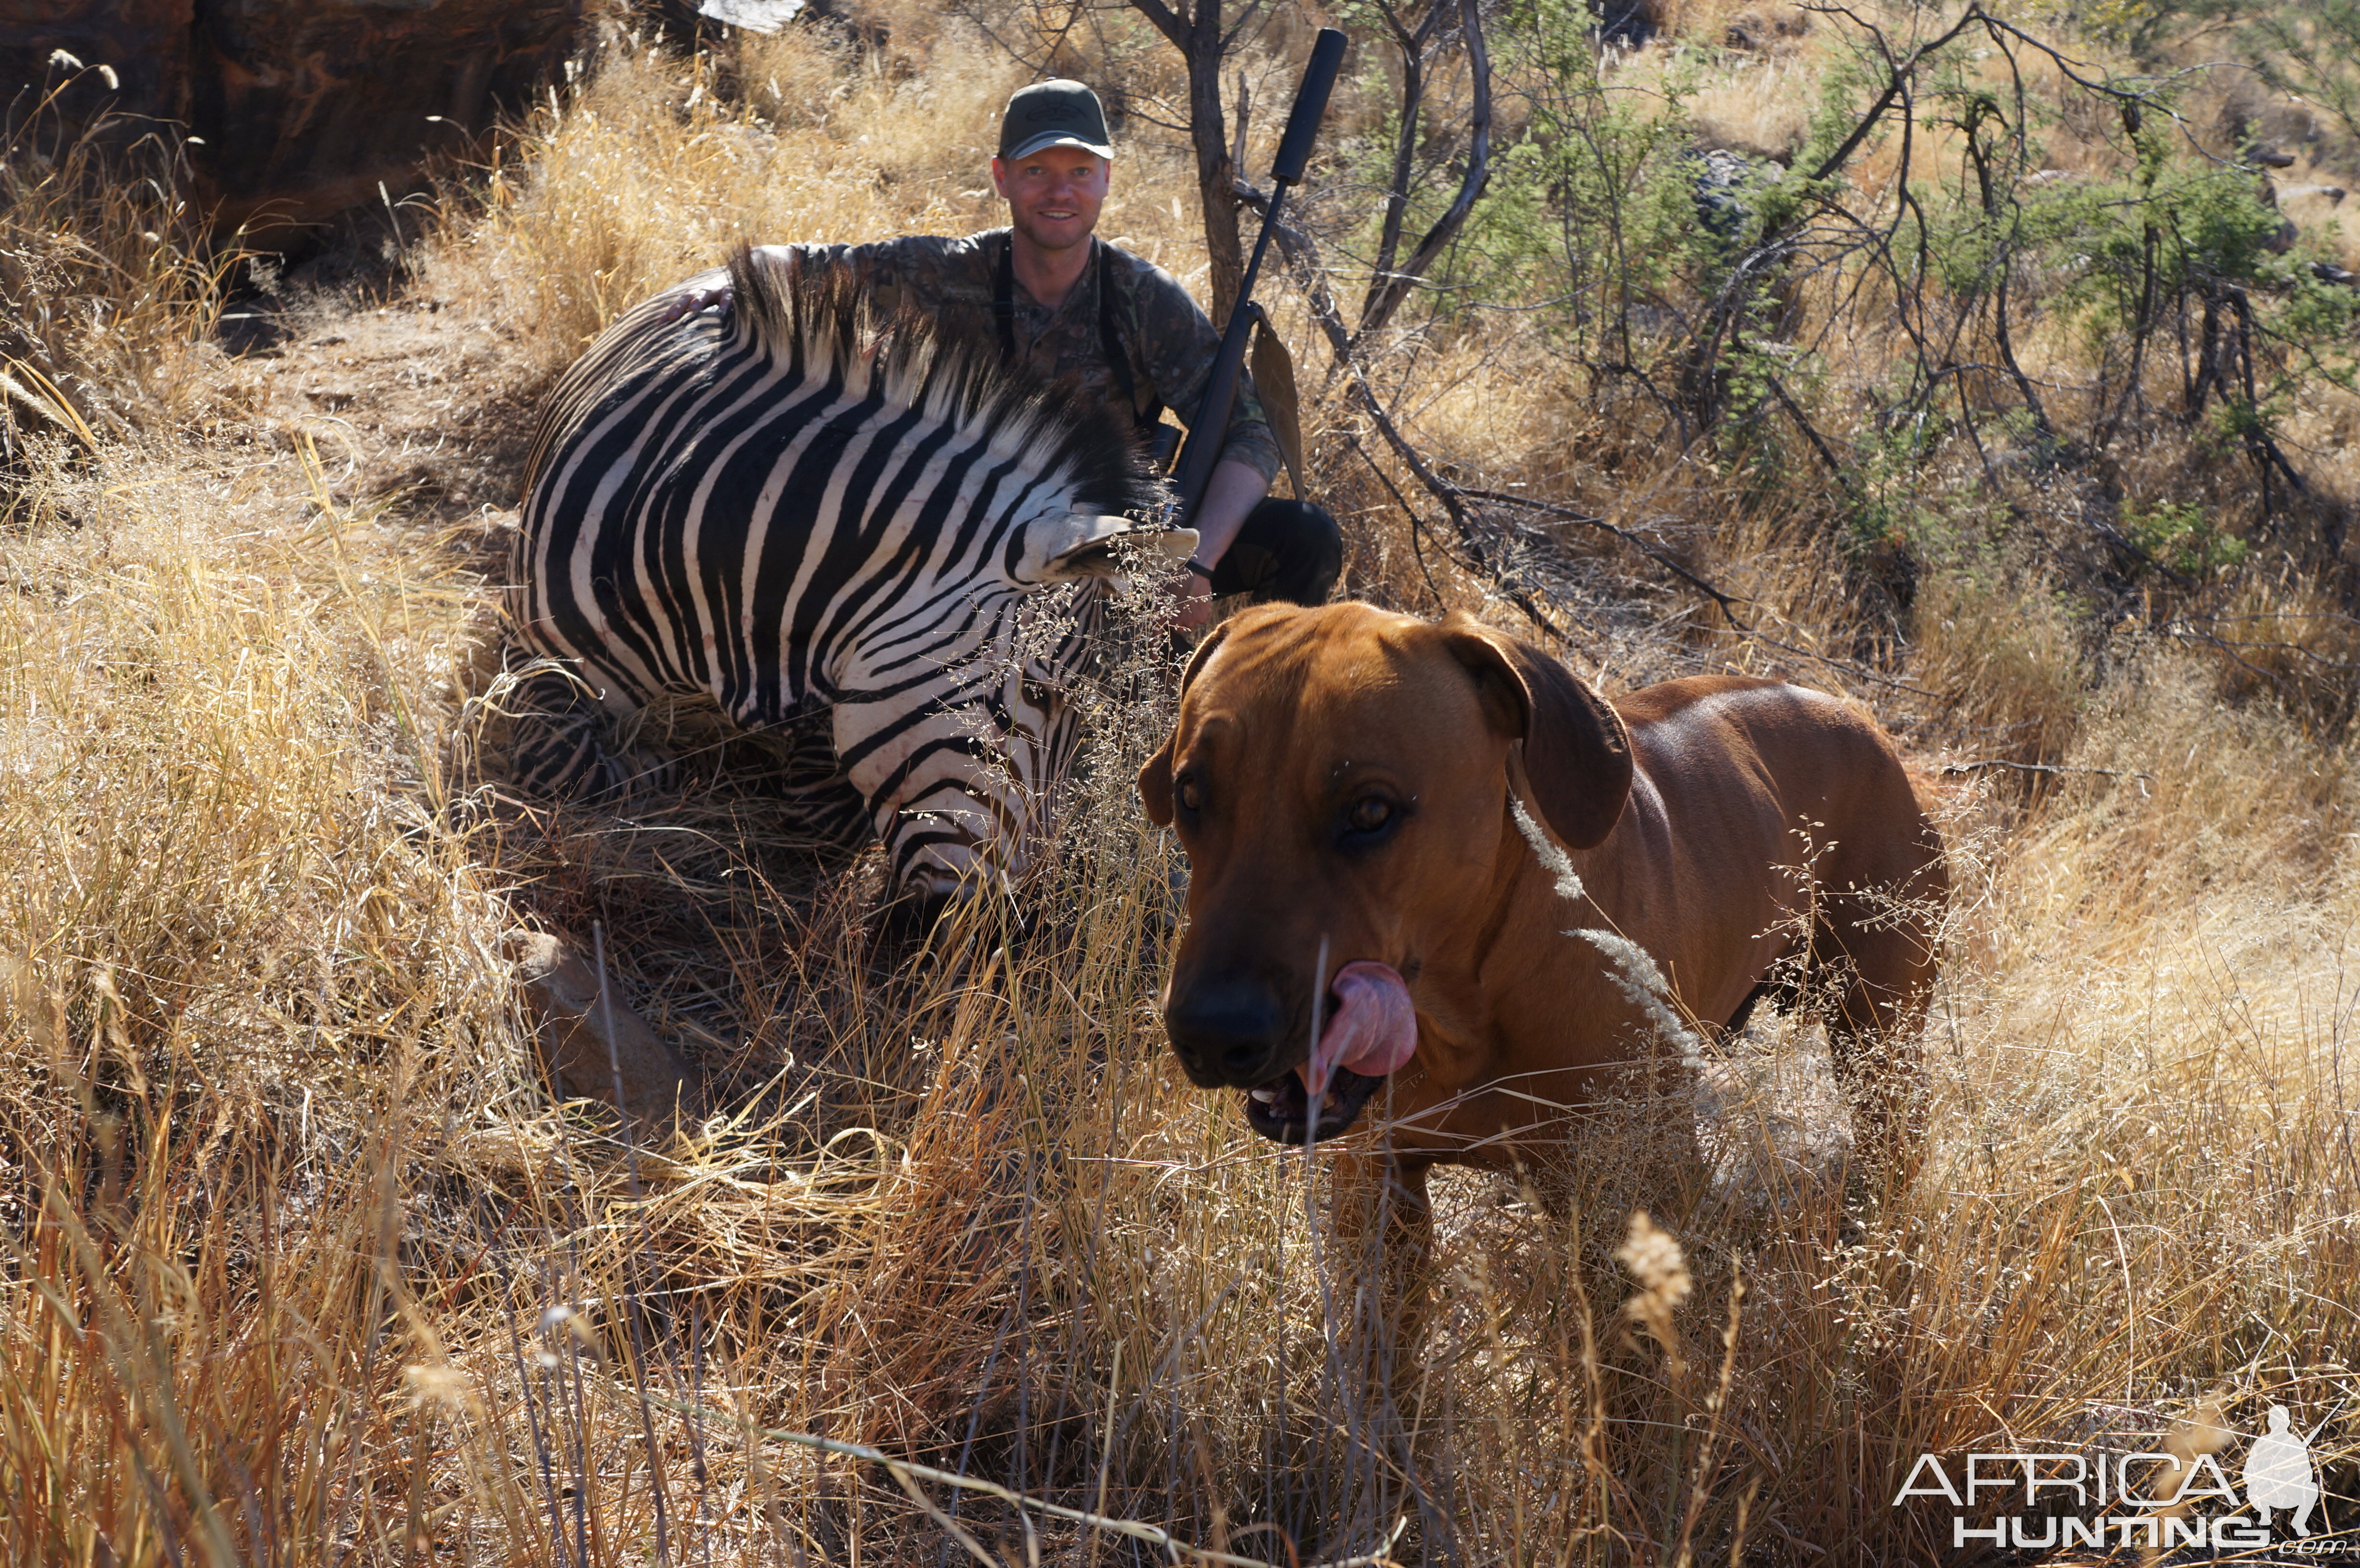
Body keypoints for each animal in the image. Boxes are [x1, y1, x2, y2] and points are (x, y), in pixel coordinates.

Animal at [1137, 597, 1935, 1247]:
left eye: (1371, 811)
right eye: (1191, 795)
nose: (1211, 1033)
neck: (1469, 1003)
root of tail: (1864, 719)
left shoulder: (1631, 1195)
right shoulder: (1376, 1190)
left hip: (1882, 1038)